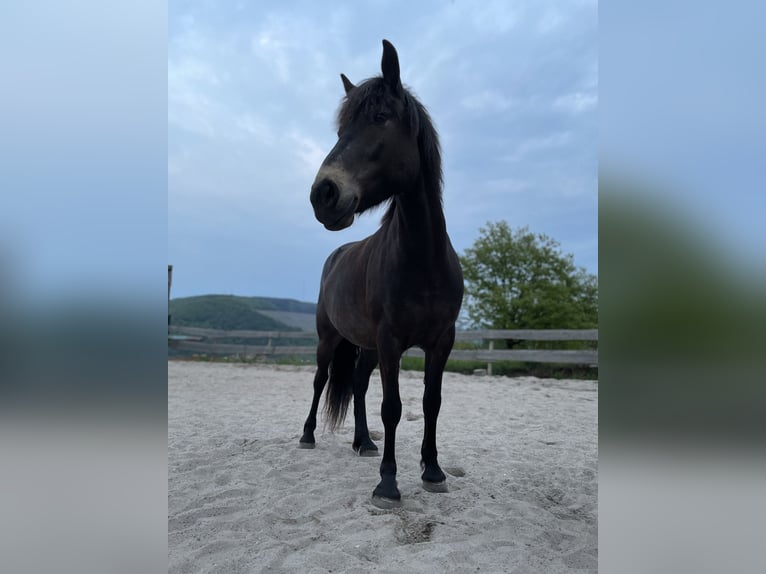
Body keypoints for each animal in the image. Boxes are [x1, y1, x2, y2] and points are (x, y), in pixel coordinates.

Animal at [298, 39, 464, 508]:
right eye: (340, 130)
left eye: (380, 118)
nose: (323, 194)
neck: (422, 261)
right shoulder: (391, 341)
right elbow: (392, 408)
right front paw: (387, 485)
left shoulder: (441, 342)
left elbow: (430, 403)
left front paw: (432, 470)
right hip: (329, 340)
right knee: (320, 381)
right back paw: (308, 436)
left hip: (367, 346)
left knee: (356, 384)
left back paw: (364, 443)